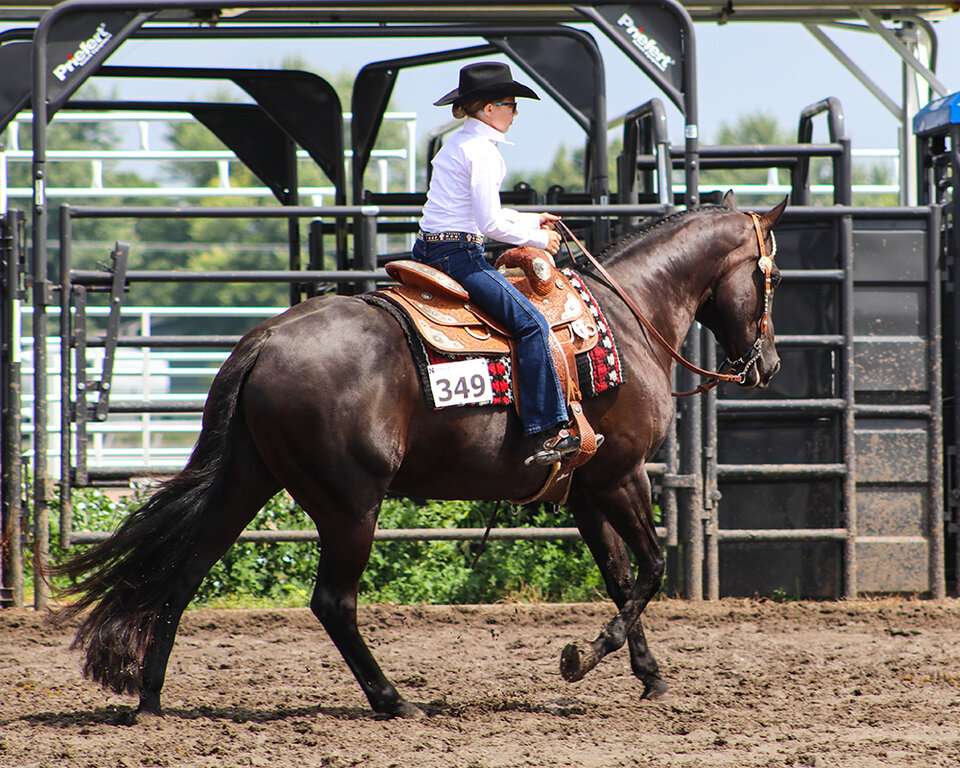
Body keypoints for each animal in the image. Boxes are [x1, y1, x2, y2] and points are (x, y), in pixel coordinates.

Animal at [54, 192, 788, 720]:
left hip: (245, 480)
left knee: (182, 573)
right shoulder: (621, 474)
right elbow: (653, 567)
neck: (629, 320)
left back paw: (150, 699)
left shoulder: (584, 490)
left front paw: (649, 676)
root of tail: (262, 343)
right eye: (772, 275)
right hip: (350, 503)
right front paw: (584, 657)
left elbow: (620, 574)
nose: (770, 366)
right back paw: (394, 700)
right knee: (333, 601)